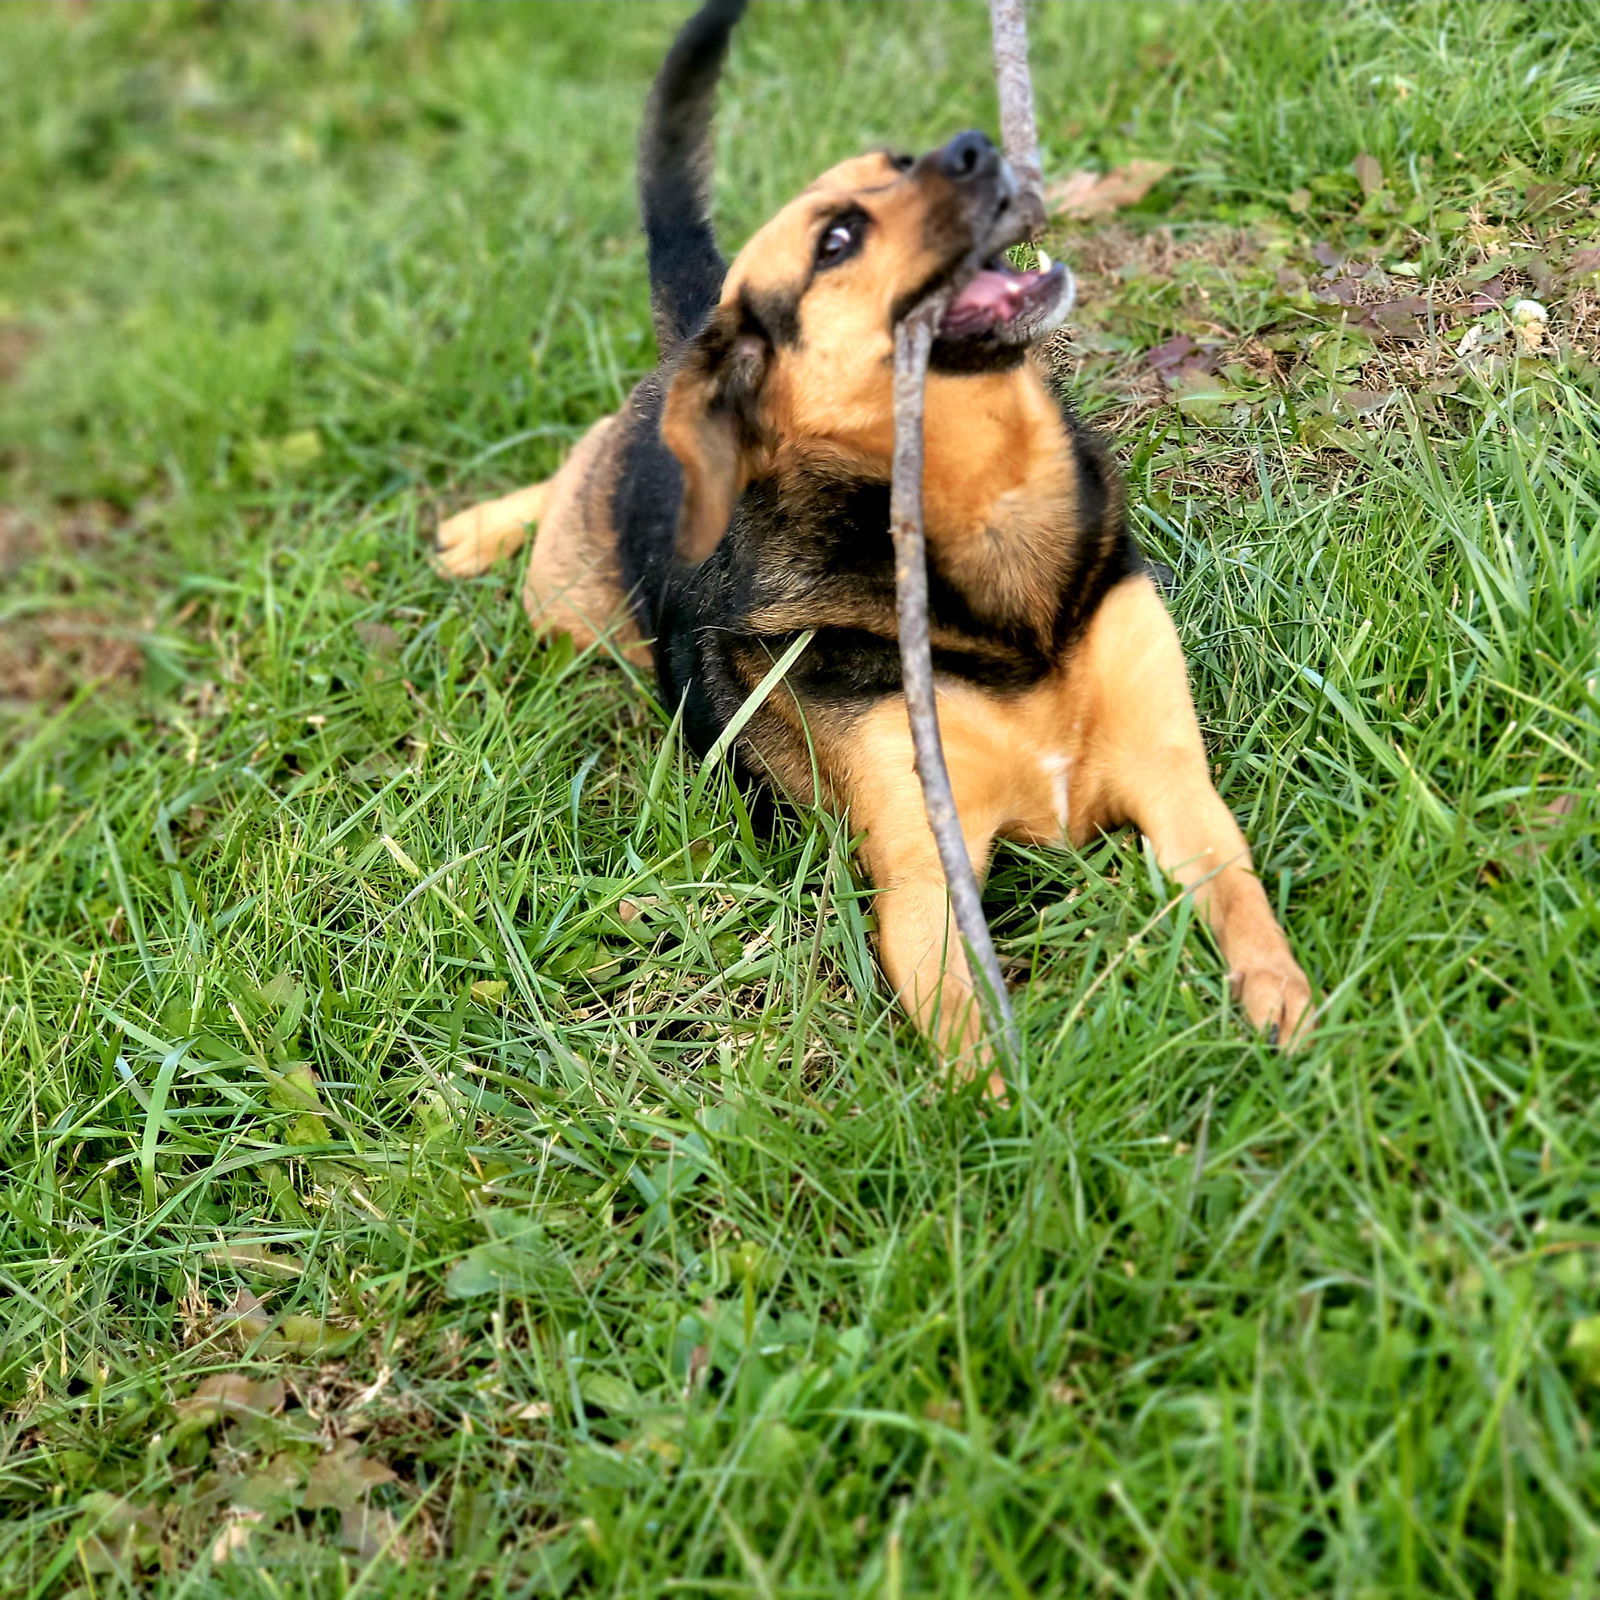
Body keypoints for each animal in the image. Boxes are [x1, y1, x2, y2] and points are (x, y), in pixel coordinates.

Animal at [438, 0, 1312, 1068]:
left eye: (898, 162)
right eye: (838, 239)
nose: (975, 144)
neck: (984, 506)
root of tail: (695, 330)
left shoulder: (1174, 781)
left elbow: (1242, 897)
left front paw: (1283, 1002)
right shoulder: (924, 877)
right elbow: (974, 1050)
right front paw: (1016, 1113)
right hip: (571, 604)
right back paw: (478, 526)